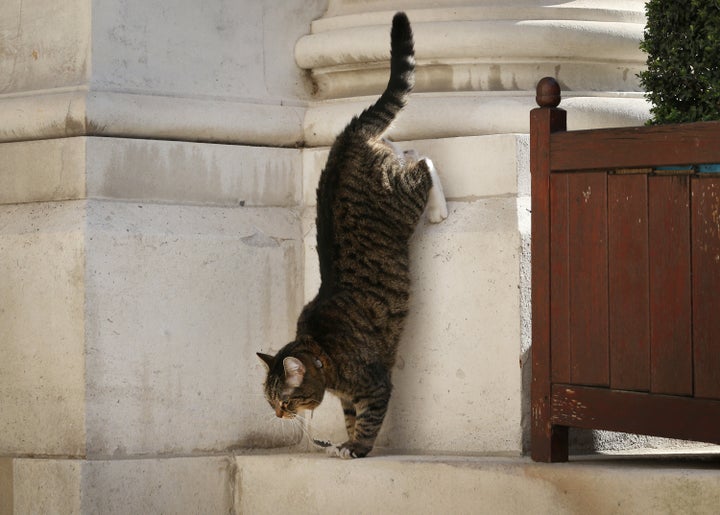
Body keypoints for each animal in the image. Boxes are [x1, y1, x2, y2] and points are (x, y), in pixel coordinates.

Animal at [256, 12, 448, 460]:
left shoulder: (375, 384)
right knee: (405, 150)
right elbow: (349, 416)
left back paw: (439, 208)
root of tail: (348, 136)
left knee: (425, 162)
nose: (277, 416)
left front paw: (357, 448)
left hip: (402, 198)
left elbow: (369, 419)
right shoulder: (348, 396)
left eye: (285, 400)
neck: (323, 353)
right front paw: (343, 442)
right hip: (388, 167)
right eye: (269, 401)